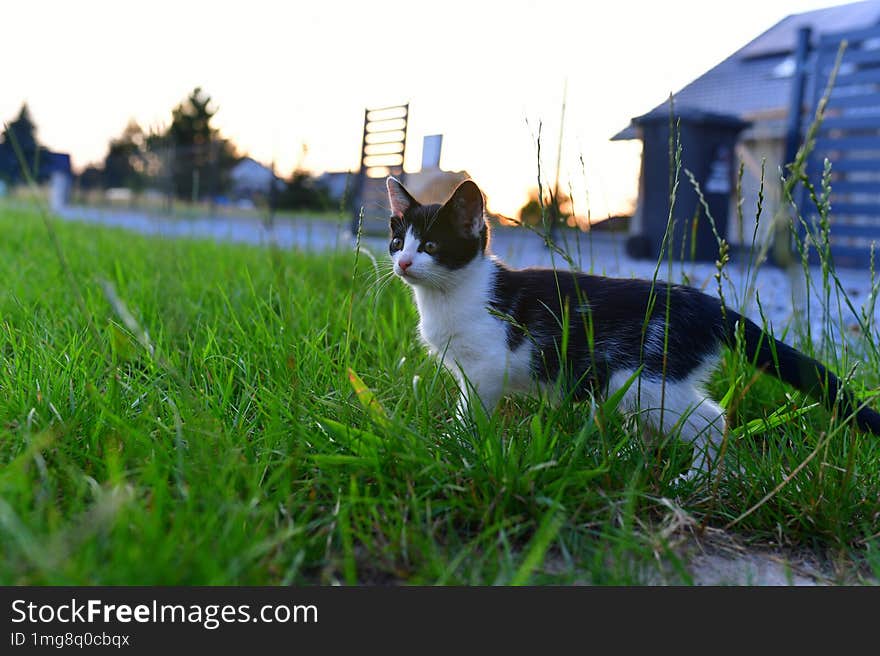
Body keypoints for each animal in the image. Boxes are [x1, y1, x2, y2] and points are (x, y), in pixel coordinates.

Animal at [386, 174, 880, 472]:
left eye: (431, 245)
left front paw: (458, 442)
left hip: (645, 378)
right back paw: (627, 460)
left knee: (712, 421)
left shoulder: (488, 366)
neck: (450, 295)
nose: (404, 263)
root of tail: (708, 304)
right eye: (397, 241)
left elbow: (473, 409)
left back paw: (694, 480)